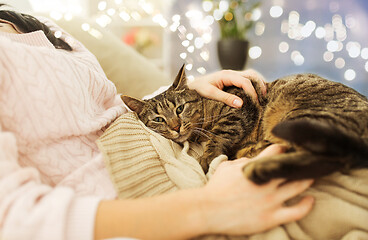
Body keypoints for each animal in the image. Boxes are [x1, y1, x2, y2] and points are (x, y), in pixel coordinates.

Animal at [121, 65, 368, 184]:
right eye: (158, 119)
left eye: (180, 109)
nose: (175, 127)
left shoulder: (239, 106)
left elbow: (218, 136)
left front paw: (207, 159)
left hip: (305, 116)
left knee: (332, 157)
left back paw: (259, 166)